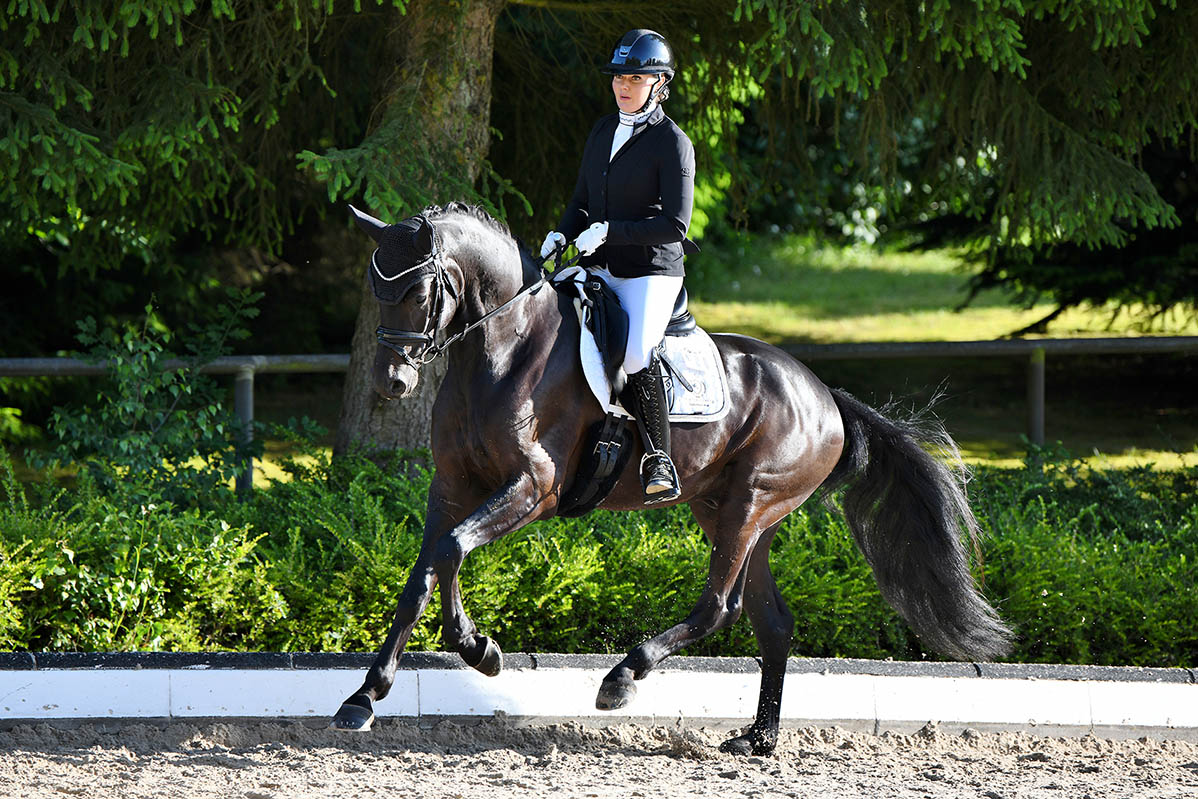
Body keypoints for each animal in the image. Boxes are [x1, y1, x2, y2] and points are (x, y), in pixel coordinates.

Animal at [331, 202, 1013, 756]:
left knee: (719, 607)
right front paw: (364, 697)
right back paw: (758, 739)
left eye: (420, 290)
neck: (503, 351)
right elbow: (422, 576)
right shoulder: (451, 487)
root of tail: (827, 397)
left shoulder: (534, 489)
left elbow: (450, 551)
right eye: (375, 286)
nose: (391, 382)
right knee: (771, 621)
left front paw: (481, 650)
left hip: (747, 507)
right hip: (735, 514)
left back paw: (623, 677)